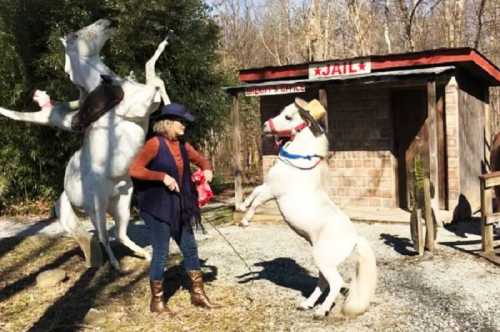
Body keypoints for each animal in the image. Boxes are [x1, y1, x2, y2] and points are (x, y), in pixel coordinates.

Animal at [0, 18, 171, 270]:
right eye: (77, 34)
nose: (108, 21)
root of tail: (67, 192)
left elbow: (156, 79)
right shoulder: (140, 106)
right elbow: (153, 81)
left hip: (122, 201)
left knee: (120, 234)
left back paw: (144, 255)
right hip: (97, 208)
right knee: (103, 237)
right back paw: (116, 265)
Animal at [238, 99, 376, 320]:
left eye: (288, 117)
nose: (265, 126)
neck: (295, 164)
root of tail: (354, 239)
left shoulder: (273, 192)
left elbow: (258, 201)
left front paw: (244, 220)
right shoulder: (268, 186)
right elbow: (254, 193)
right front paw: (242, 206)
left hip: (324, 261)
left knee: (335, 282)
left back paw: (321, 311)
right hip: (322, 262)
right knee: (323, 282)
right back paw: (306, 304)